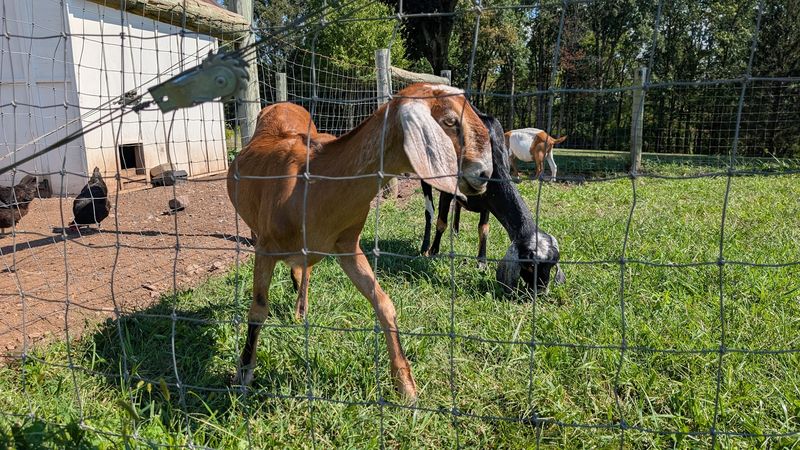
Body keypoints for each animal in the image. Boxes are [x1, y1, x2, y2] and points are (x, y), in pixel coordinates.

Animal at [227, 83, 492, 399]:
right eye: (450, 121)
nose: (485, 174)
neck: (313, 186)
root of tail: (283, 104)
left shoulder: (347, 245)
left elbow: (383, 302)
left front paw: (406, 386)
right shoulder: (266, 249)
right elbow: (257, 310)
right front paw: (243, 376)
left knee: (306, 271)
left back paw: (301, 310)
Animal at [420, 112, 565, 293]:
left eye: (551, 266)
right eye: (530, 265)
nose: (539, 292)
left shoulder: (487, 201)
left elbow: (483, 229)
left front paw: (481, 262)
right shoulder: (447, 187)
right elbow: (441, 223)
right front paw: (434, 251)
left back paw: (456, 231)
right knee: (429, 211)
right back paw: (424, 247)